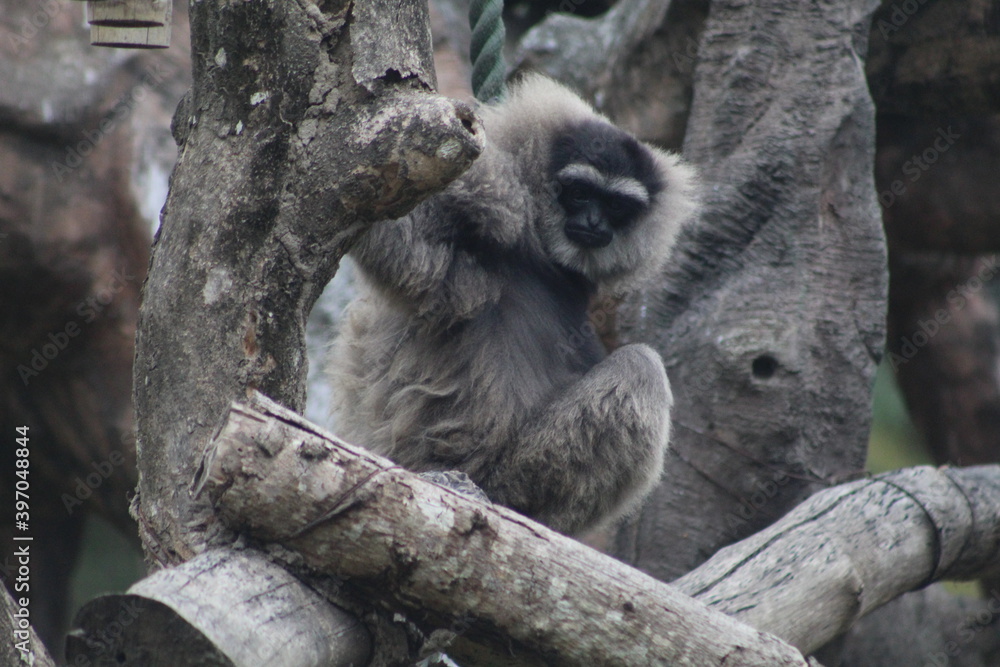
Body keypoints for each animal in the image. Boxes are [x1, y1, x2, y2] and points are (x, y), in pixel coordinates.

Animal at [329, 74, 699, 535]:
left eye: (616, 205)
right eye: (579, 193)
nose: (594, 222)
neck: (538, 253)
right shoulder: (485, 238)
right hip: (506, 470)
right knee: (641, 366)